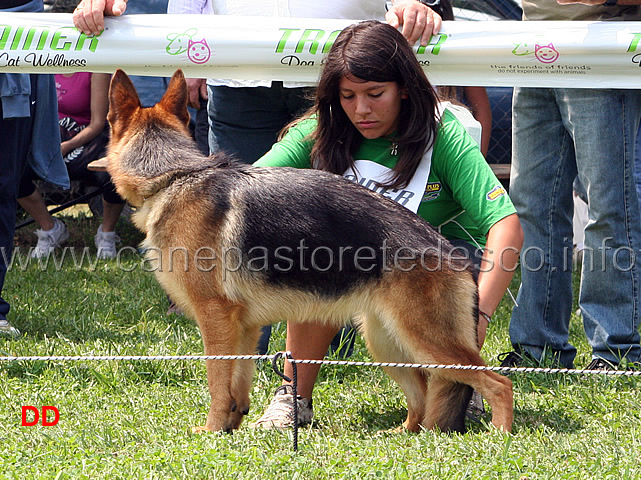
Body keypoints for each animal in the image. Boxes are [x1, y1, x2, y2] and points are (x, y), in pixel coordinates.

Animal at [107, 68, 512, 436]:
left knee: (498, 384)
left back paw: (500, 435)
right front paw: (232, 425)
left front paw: (211, 430)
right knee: (423, 395)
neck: (172, 176)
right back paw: (402, 433)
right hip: (388, 343)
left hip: (426, 341)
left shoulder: (215, 318)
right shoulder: (246, 327)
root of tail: (451, 253)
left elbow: (218, 383)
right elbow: (238, 384)